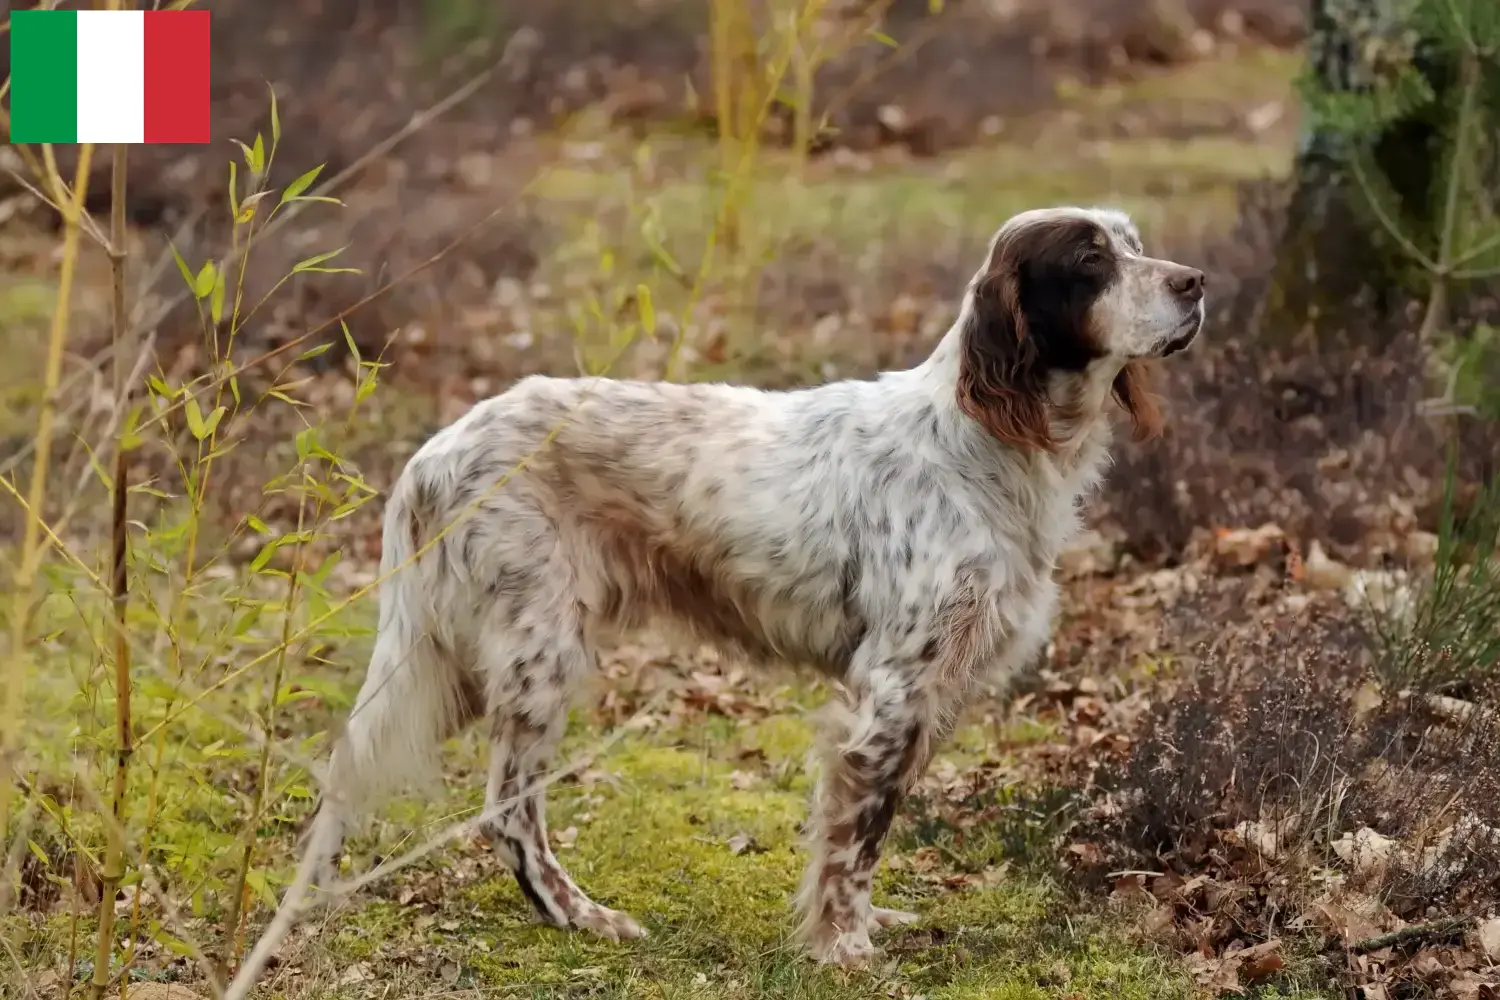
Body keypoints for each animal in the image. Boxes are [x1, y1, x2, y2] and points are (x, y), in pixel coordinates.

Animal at [298, 205, 1200, 971]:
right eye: (1090, 260)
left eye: (1134, 240)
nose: (1195, 282)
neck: (984, 441)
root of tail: (435, 450)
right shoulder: (892, 690)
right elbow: (856, 833)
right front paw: (843, 946)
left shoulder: (938, 688)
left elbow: (866, 830)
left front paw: (863, 924)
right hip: (536, 652)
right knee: (506, 808)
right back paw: (580, 914)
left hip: (454, 660)